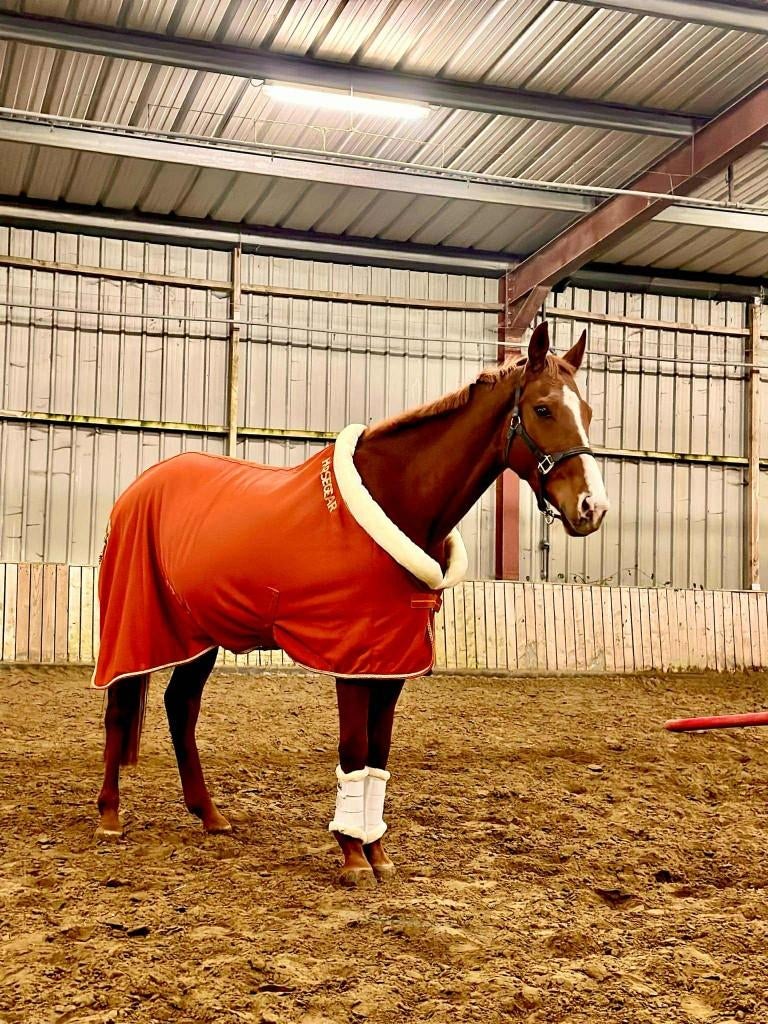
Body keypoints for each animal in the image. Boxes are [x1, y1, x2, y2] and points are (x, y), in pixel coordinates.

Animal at [93, 320, 608, 887]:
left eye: (586, 412)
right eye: (543, 409)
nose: (593, 507)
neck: (397, 499)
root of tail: (138, 490)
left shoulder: (391, 662)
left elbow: (378, 755)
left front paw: (376, 851)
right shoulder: (353, 661)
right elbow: (354, 750)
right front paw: (352, 855)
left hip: (199, 633)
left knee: (180, 706)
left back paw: (209, 815)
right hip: (133, 621)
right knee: (120, 707)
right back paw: (110, 816)